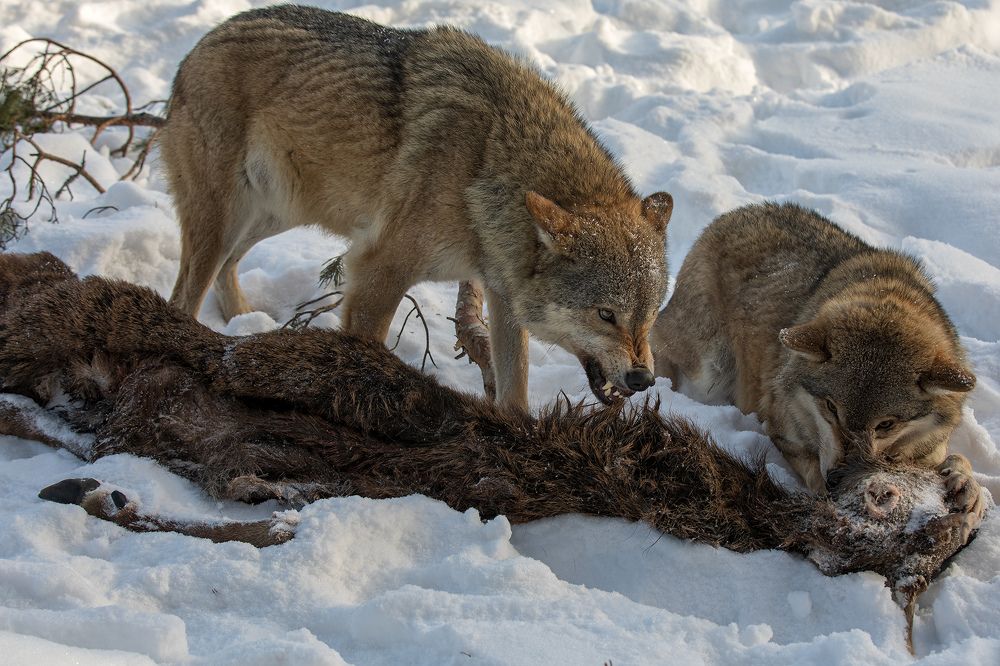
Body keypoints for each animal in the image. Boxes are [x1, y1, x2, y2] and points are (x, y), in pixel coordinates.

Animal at [161, 5, 673, 410]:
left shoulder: (500, 292)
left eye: (649, 316)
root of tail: (203, 41)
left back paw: (243, 328)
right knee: (185, 293)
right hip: (224, 222)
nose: (643, 379)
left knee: (227, 269)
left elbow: (515, 388)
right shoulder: (378, 268)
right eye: (605, 315)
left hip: (273, 214)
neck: (486, 167)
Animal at [651, 202, 983, 521]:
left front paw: (966, 484)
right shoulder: (781, 433)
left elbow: (958, 458)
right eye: (831, 408)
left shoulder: (930, 448)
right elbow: (810, 466)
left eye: (886, 424)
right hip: (710, 365)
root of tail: (735, 213)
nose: (838, 480)